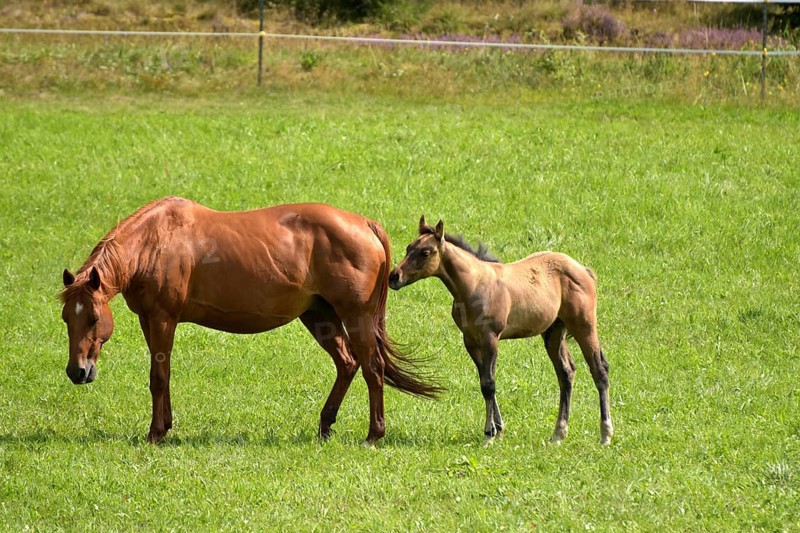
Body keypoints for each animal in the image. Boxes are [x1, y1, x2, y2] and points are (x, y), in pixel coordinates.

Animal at [59, 197, 440, 444]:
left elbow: (158, 376)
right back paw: (325, 425)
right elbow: (162, 375)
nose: (78, 372)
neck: (156, 240)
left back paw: (374, 434)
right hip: (319, 316)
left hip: (355, 315)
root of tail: (364, 224)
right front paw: (165, 425)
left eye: (93, 318)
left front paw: (155, 433)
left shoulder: (163, 319)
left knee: (372, 368)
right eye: (66, 318)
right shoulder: (148, 321)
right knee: (348, 363)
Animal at [388, 216, 613, 445]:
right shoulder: (470, 340)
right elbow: (485, 380)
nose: (394, 277)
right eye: (408, 248)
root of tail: (583, 269)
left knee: (599, 370)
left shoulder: (490, 338)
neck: (474, 285)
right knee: (566, 373)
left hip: (584, 325)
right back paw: (558, 434)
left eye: (425, 252)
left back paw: (605, 434)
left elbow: (489, 384)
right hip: (554, 332)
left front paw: (489, 434)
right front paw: (498, 428)